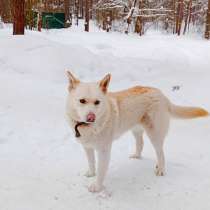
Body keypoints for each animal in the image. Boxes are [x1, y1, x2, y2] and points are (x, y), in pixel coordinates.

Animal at [66, 71, 208, 193]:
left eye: (97, 102)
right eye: (82, 101)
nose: (91, 117)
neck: (87, 126)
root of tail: (161, 94)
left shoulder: (104, 150)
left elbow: (101, 170)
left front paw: (97, 186)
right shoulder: (87, 147)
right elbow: (91, 162)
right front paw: (91, 173)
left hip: (154, 133)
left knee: (161, 153)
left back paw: (161, 169)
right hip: (136, 130)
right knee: (141, 143)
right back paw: (137, 156)